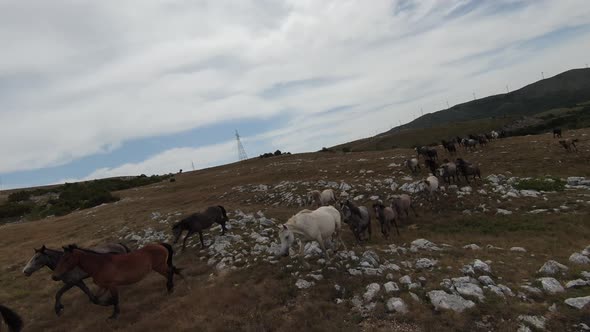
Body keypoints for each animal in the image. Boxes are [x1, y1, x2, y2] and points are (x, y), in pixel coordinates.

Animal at [52, 244, 182, 320]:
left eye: (66, 258)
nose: (54, 276)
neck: (99, 265)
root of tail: (160, 245)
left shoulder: (112, 285)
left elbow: (115, 299)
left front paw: (114, 315)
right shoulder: (103, 286)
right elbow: (95, 299)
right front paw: (108, 303)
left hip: (159, 267)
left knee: (170, 273)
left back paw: (170, 289)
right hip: (160, 266)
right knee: (171, 271)